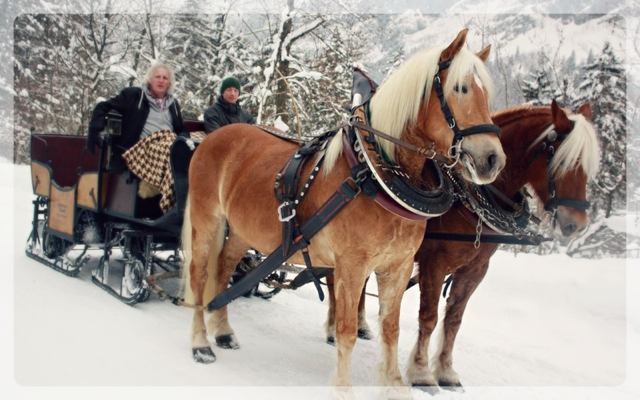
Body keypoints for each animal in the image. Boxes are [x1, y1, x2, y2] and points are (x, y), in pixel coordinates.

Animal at [180, 28, 504, 390]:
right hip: (206, 217)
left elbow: (391, 330)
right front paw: (342, 388)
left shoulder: (398, 266)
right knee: (200, 273)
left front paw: (395, 387)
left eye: (487, 94)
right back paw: (201, 342)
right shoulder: (351, 265)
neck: (374, 175)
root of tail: (213, 136)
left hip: (240, 229)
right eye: (460, 88)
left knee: (224, 269)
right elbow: (347, 332)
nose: (492, 159)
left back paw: (223, 331)